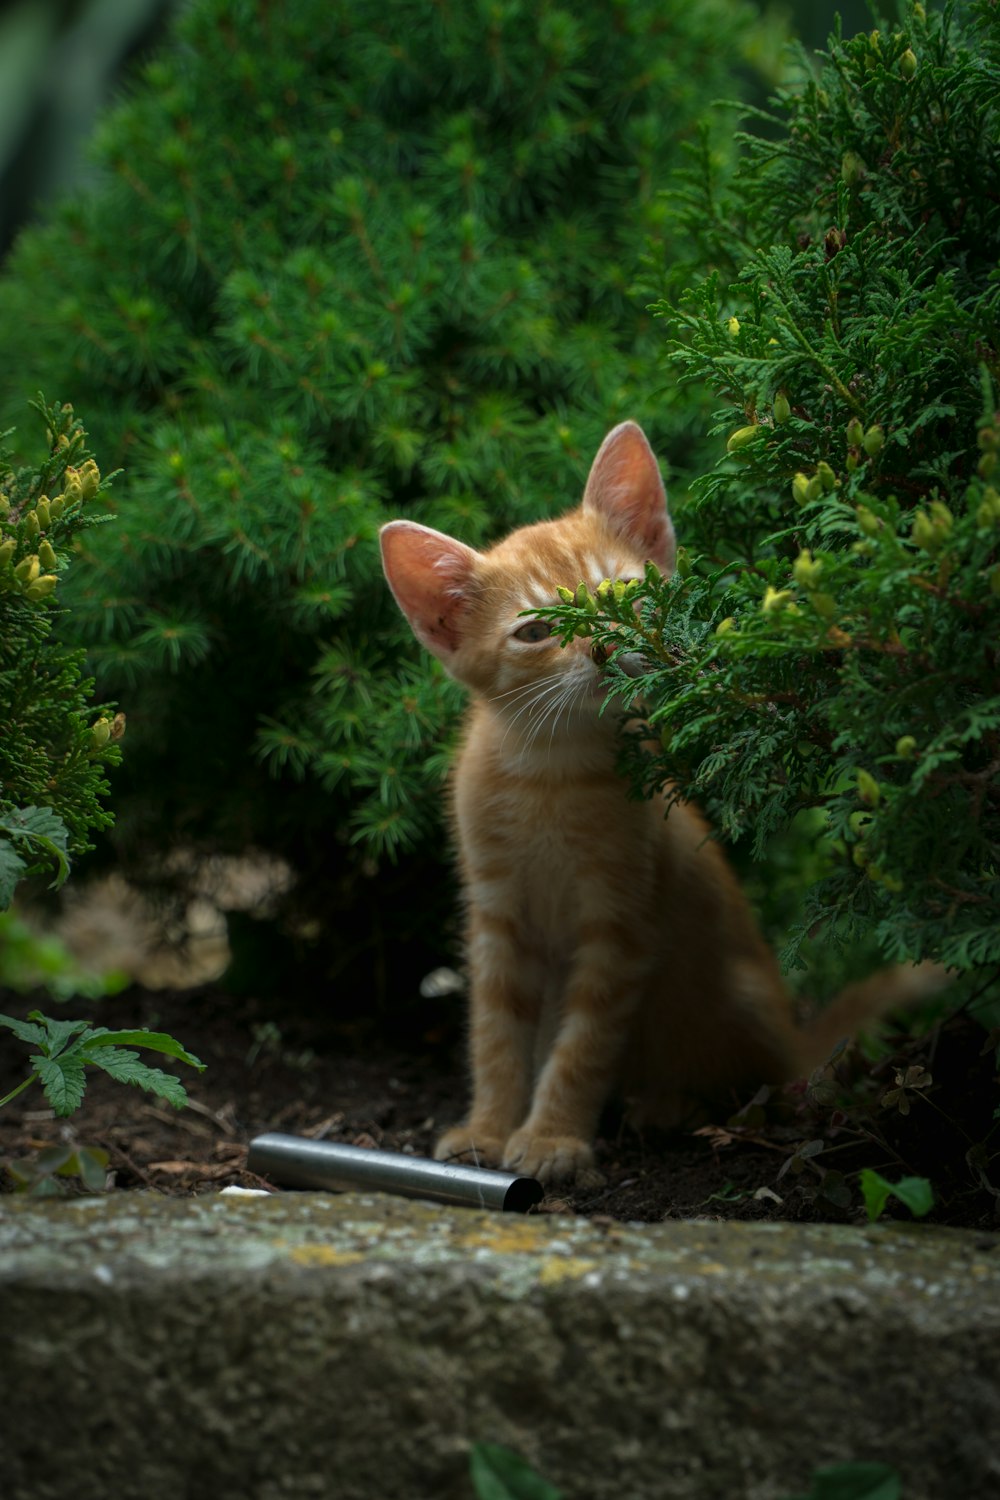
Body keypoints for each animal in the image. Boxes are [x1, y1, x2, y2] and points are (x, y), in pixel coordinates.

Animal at [380, 423, 929, 1182]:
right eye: (535, 632)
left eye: (619, 593)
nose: (606, 646)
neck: (549, 775)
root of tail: (795, 1035)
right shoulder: (495, 917)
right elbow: (494, 1031)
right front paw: (488, 1128)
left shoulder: (622, 920)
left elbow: (583, 1044)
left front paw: (550, 1139)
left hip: (730, 1000)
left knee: (756, 1083)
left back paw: (671, 1105)